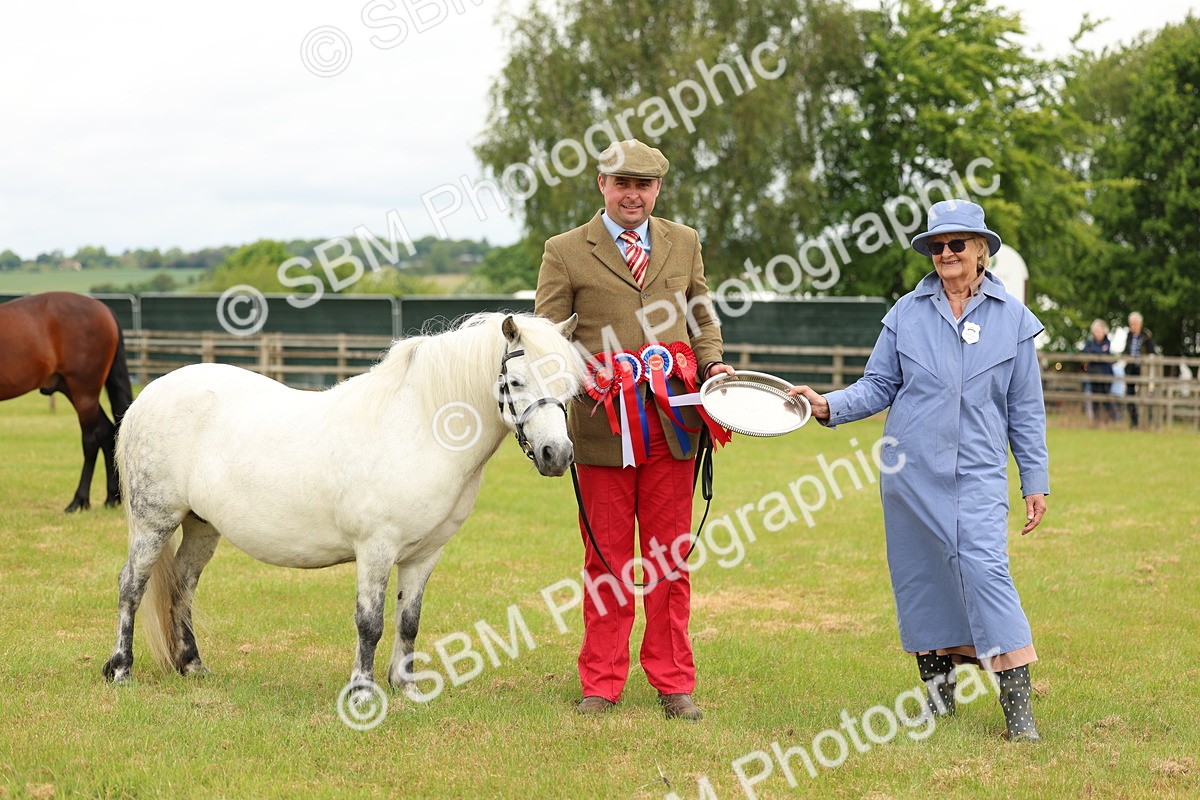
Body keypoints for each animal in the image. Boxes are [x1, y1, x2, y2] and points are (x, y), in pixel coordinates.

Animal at [0, 292, 134, 511]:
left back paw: (79, 501)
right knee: (106, 432)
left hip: (84, 391)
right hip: (73, 390)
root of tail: (105, 310)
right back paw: (110, 498)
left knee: (91, 439)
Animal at [102, 311, 582, 700]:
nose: (556, 455)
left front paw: (406, 687)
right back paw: (121, 669)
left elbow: (409, 620)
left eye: (569, 387)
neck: (420, 430)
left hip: (202, 525)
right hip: (154, 521)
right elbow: (370, 622)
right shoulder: (376, 549)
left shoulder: (424, 554)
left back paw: (193, 665)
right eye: (516, 382)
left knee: (183, 585)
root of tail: (149, 395)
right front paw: (363, 691)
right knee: (132, 586)